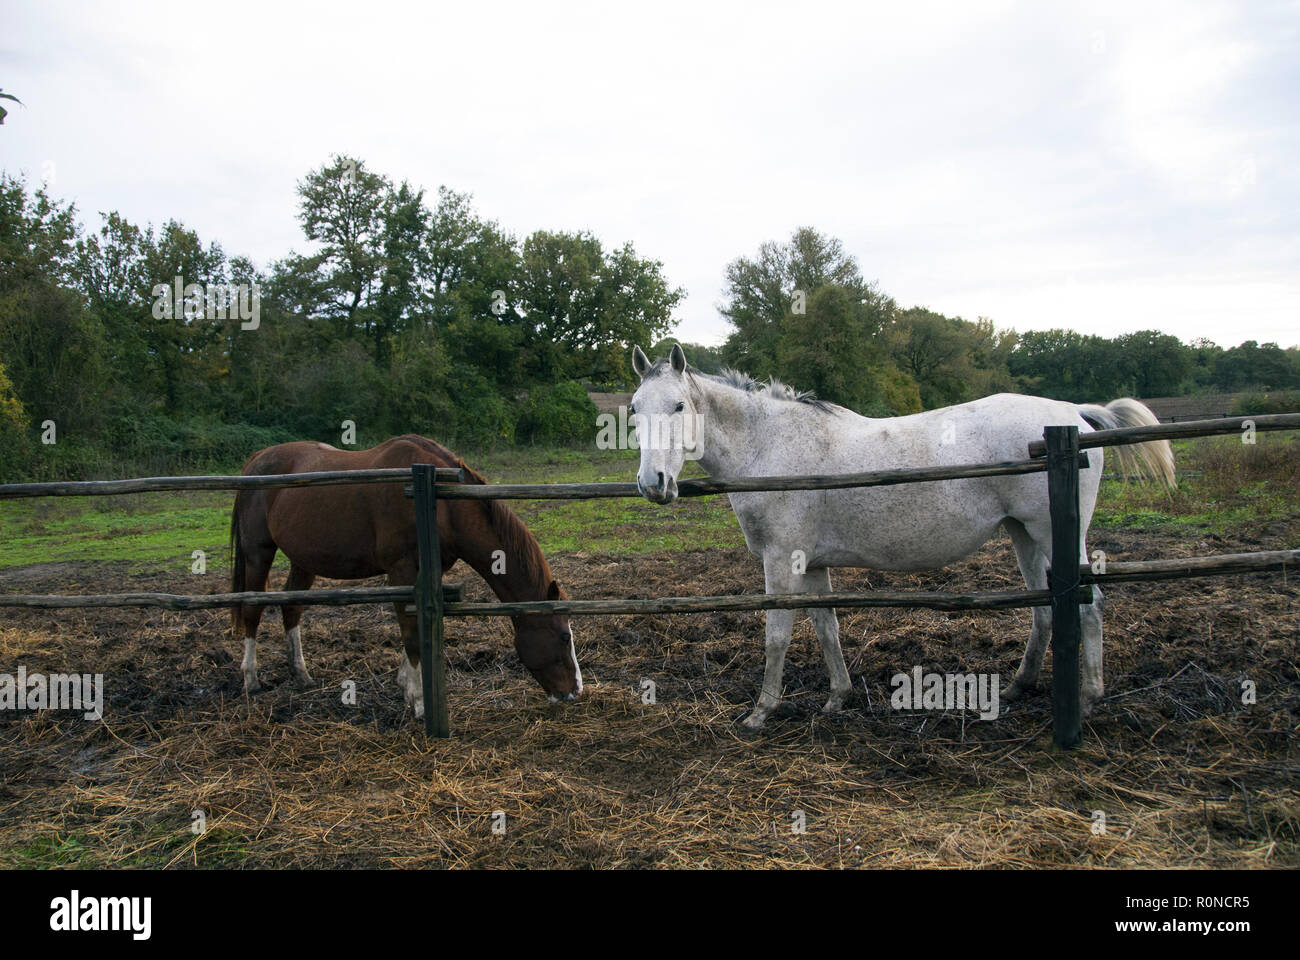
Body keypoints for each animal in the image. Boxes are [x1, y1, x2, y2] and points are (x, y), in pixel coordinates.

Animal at [230, 429, 585, 712]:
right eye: (564, 636)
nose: (574, 691)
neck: (441, 504)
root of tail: (257, 460)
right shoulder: (401, 569)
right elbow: (411, 634)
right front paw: (418, 701)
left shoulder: (428, 572)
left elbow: (417, 625)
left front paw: (405, 684)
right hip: (258, 555)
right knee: (252, 611)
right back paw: (251, 680)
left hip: (303, 561)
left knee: (291, 609)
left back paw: (301, 675)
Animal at [629, 343, 1180, 723]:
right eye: (635, 408)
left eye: (678, 407)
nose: (653, 483)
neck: (772, 445)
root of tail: (1073, 416)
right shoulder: (812, 563)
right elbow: (826, 628)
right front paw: (837, 697)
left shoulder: (782, 560)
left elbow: (777, 636)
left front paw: (762, 711)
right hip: (1024, 536)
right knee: (1044, 608)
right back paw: (1018, 687)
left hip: (1052, 535)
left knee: (1090, 604)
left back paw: (1087, 699)